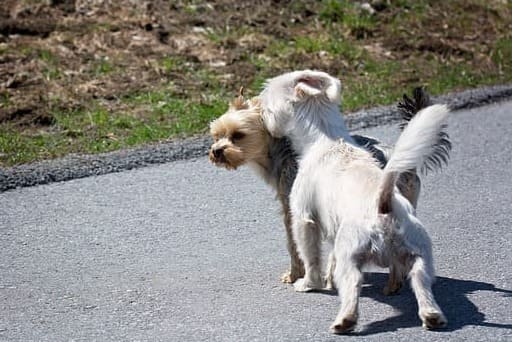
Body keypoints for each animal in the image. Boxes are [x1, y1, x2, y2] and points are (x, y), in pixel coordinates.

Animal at [262, 70, 446, 334]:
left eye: (266, 103)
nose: (260, 114)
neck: (325, 139)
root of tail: (384, 206)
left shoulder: (304, 218)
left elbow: (310, 255)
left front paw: (308, 283)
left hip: (351, 253)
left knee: (352, 285)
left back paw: (345, 320)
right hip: (419, 253)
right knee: (421, 281)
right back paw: (429, 314)